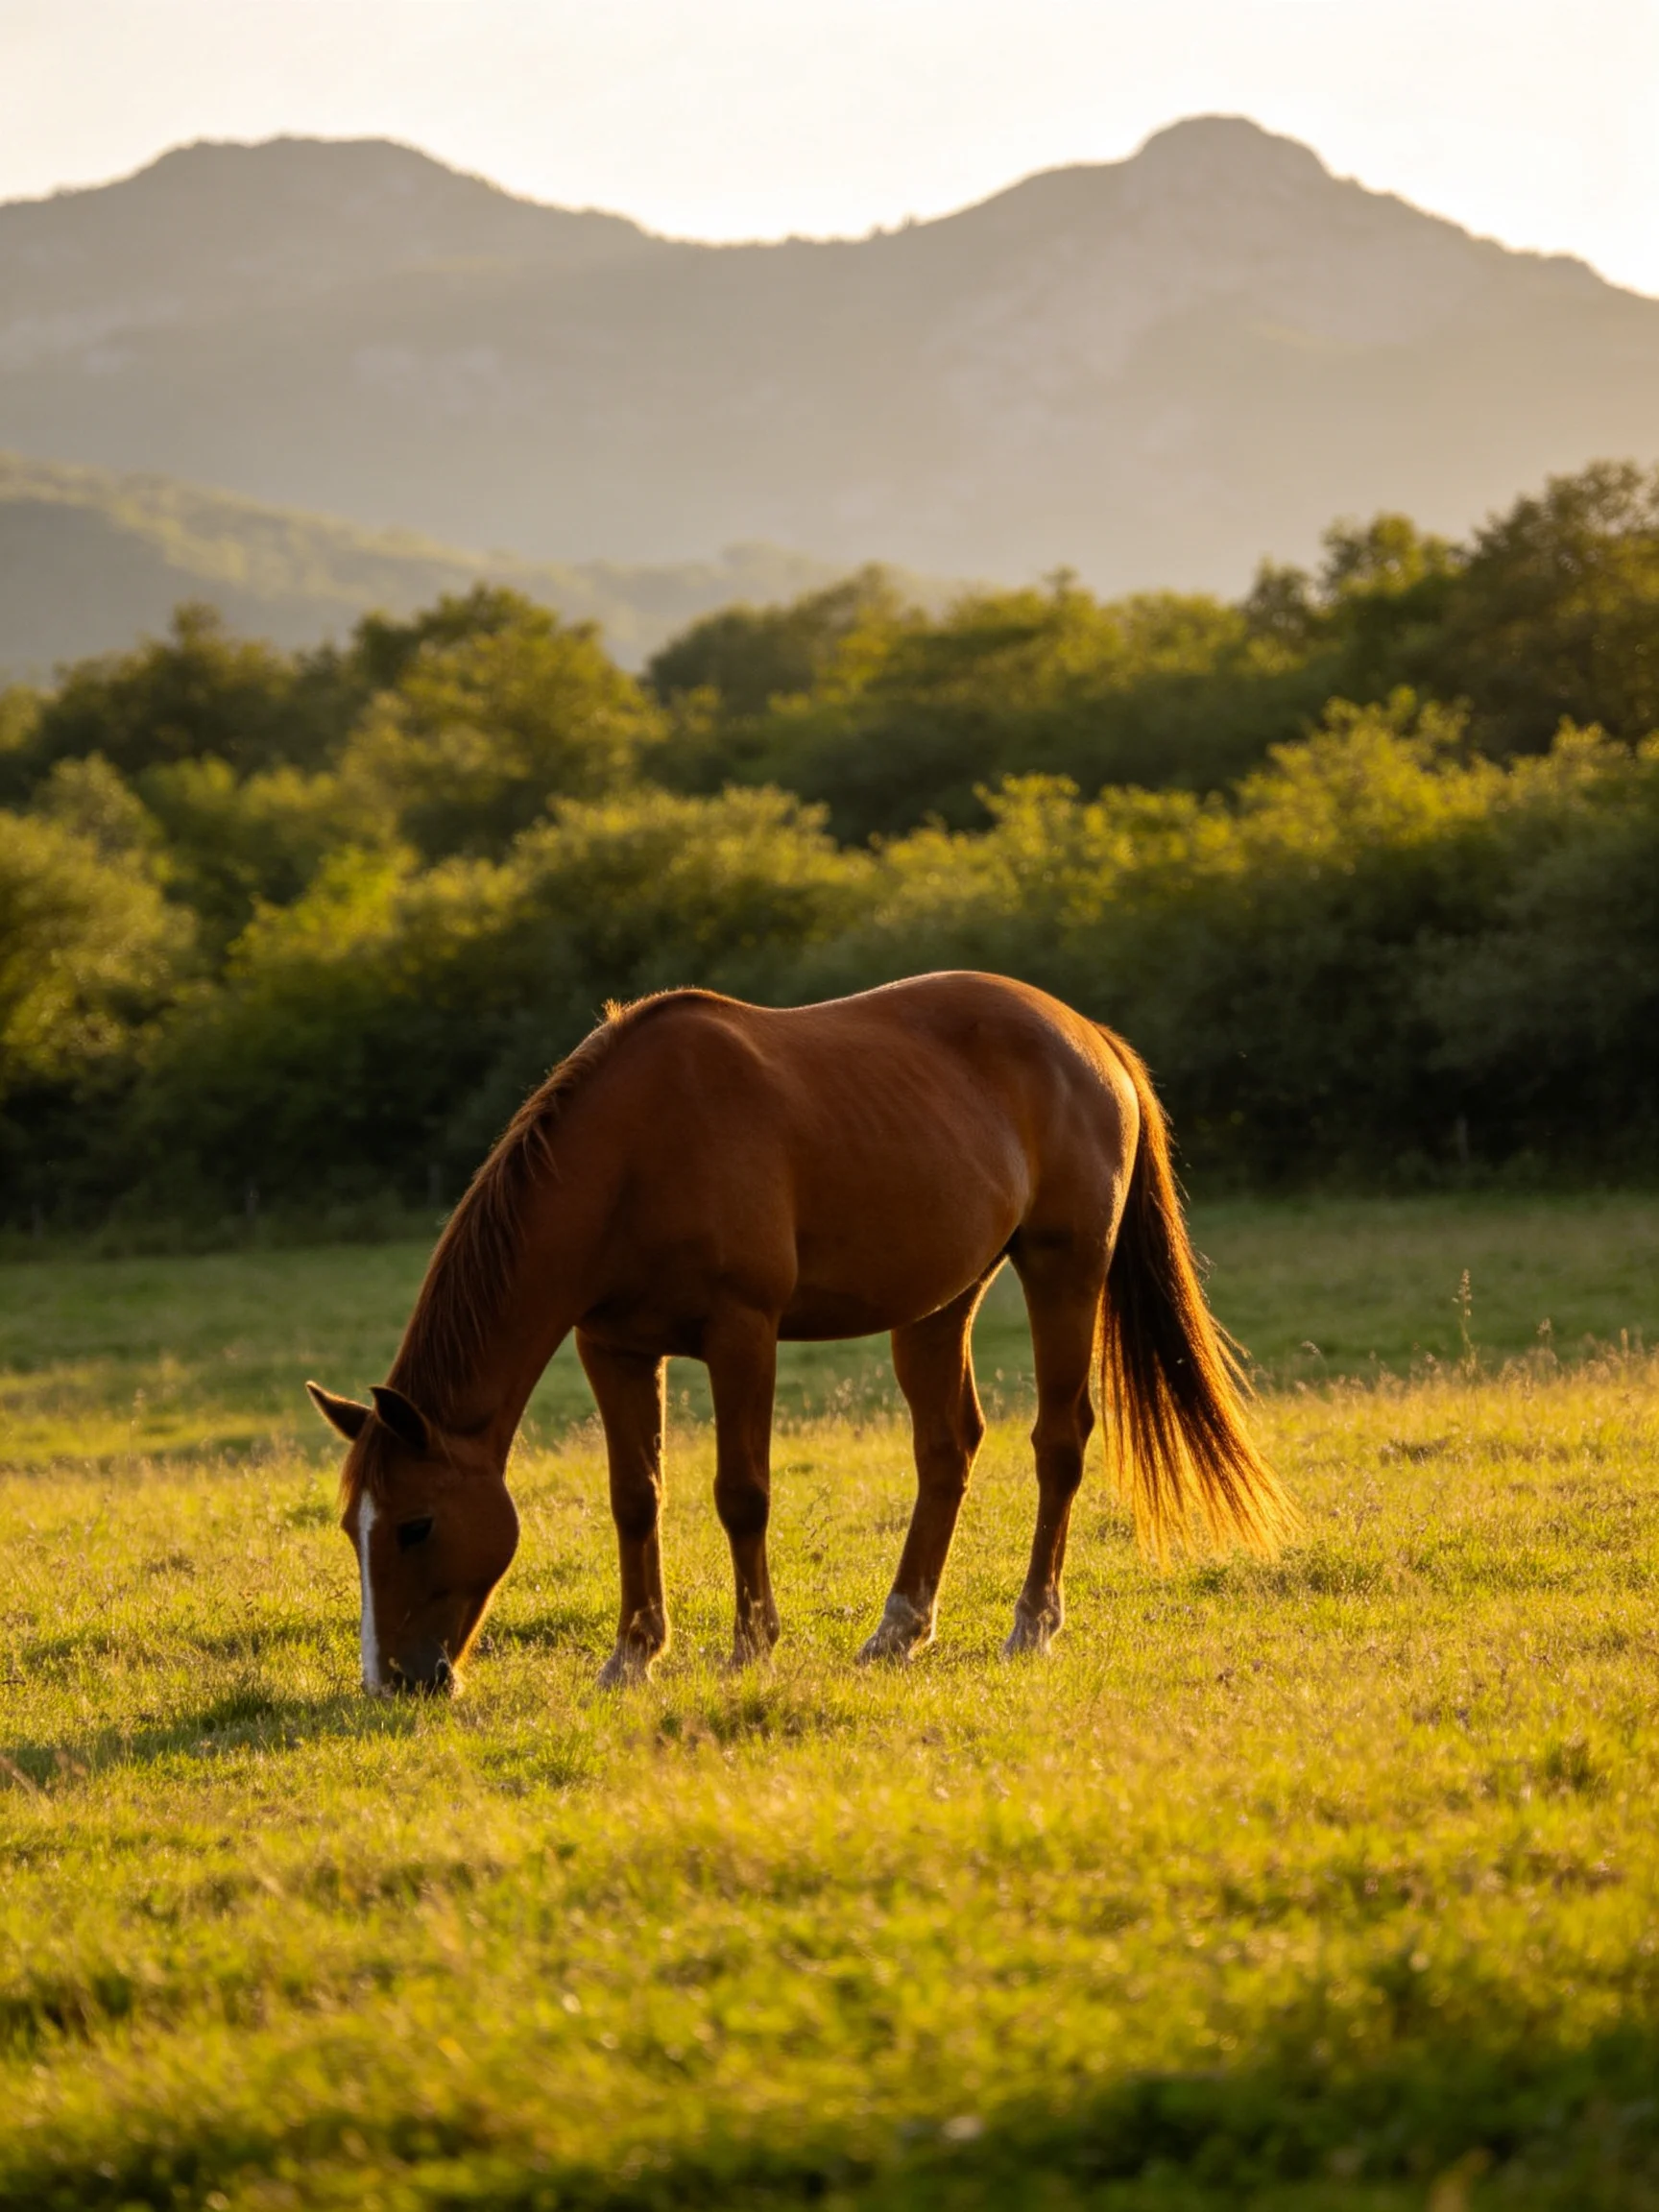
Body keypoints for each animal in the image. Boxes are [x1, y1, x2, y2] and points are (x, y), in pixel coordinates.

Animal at [307, 971, 1292, 1694]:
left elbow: (741, 1493)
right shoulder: (614, 1348)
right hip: (938, 1303)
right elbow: (635, 1498)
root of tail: (1090, 1038)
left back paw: (1031, 1624)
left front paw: (750, 1647)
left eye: (415, 1526)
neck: (633, 1155)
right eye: (353, 1528)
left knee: (1060, 1441)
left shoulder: (742, 1333)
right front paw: (633, 1655)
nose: (393, 1682)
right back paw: (899, 1629)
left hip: (1064, 1269)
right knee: (947, 1449)